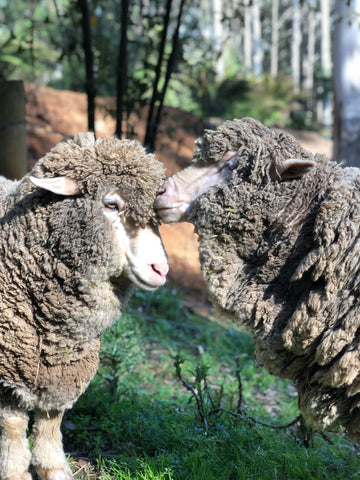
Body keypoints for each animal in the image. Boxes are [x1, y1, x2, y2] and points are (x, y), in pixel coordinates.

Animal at [0, 133, 169, 480]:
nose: (160, 269)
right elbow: (13, 425)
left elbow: (51, 421)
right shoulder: (10, 366)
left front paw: (54, 468)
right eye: (111, 204)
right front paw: (15, 471)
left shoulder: (64, 365)